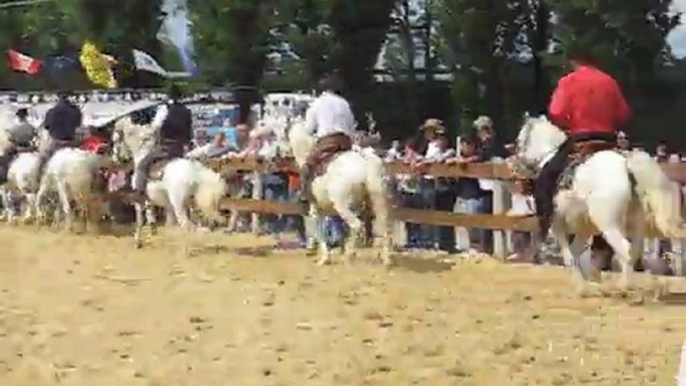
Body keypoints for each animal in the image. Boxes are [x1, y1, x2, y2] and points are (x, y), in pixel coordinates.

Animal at [111, 116, 227, 247]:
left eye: (115, 140)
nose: (115, 159)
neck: (142, 154)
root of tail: (196, 172)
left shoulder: (140, 200)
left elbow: (141, 219)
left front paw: (137, 241)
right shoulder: (156, 203)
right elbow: (154, 219)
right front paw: (152, 234)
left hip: (179, 204)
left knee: (187, 225)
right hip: (193, 206)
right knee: (196, 225)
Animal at [286, 122, 392, 266]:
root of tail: (366, 163)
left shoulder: (316, 209)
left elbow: (320, 230)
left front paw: (324, 258)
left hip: (342, 205)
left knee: (356, 225)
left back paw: (348, 255)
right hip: (376, 199)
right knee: (381, 225)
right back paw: (385, 259)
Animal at [516, 117, 686, 292]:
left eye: (519, 140)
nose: (518, 169)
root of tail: (625, 163)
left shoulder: (557, 224)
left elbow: (568, 255)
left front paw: (580, 285)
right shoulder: (584, 229)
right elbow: (576, 252)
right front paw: (585, 285)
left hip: (608, 223)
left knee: (624, 250)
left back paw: (625, 287)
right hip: (637, 220)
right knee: (634, 251)